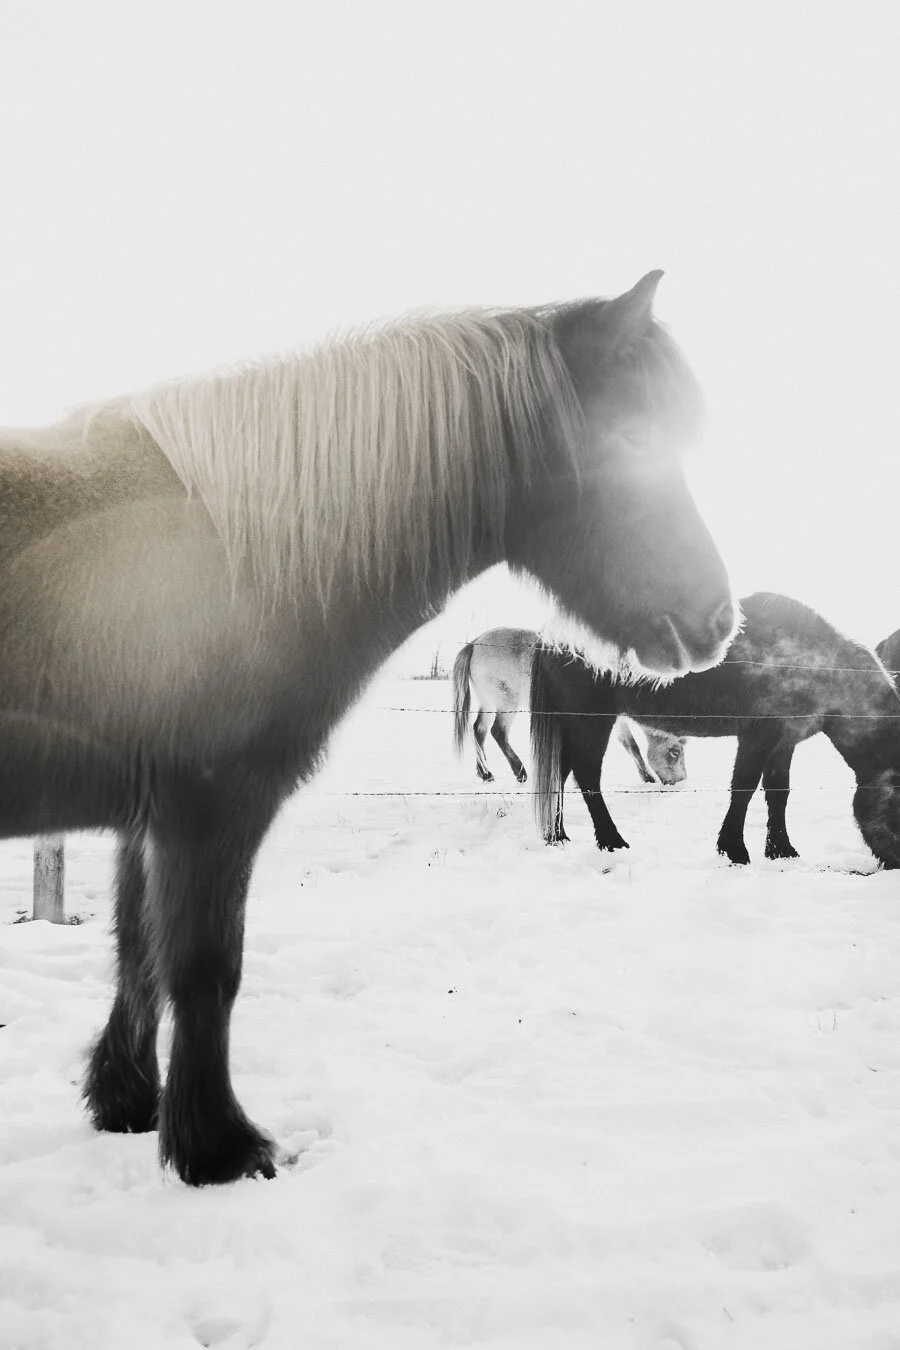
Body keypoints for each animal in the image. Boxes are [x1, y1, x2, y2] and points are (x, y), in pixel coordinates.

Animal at [451, 626, 686, 784]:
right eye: (675, 752)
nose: (680, 781)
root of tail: (475, 643)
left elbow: (631, 745)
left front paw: (647, 777)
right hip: (506, 704)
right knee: (497, 732)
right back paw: (519, 771)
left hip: (488, 703)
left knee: (478, 730)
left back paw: (485, 773)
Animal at [530, 592, 900, 868]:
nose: (894, 866)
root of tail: (550, 635)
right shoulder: (757, 737)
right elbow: (744, 788)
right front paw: (734, 850)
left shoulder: (784, 742)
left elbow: (778, 793)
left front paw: (781, 850)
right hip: (591, 721)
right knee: (586, 775)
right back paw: (611, 841)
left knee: (559, 772)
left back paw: (556, 835)